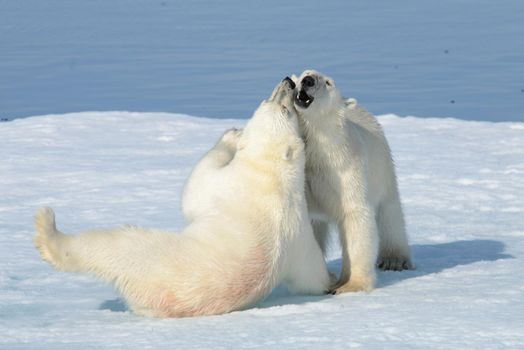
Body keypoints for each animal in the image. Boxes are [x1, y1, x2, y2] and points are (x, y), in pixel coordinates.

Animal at [34, 78, 332, 318]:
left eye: (283, 109)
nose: (289, 83)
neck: (274, 176)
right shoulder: (299, 234)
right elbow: (311, 275)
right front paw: (329, 283)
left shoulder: (229, 184)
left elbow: (196, 188)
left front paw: (230, 136)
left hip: (145, 254)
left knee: (105, 244)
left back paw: (47, 228)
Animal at [290, 69, 414, 294]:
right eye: (302, 74)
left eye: (328, 82)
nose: (308, 80)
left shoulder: (344, 170)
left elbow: (355, 216)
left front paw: (350, 285)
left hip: (382, 169)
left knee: (389, 212)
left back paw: (395, 259)